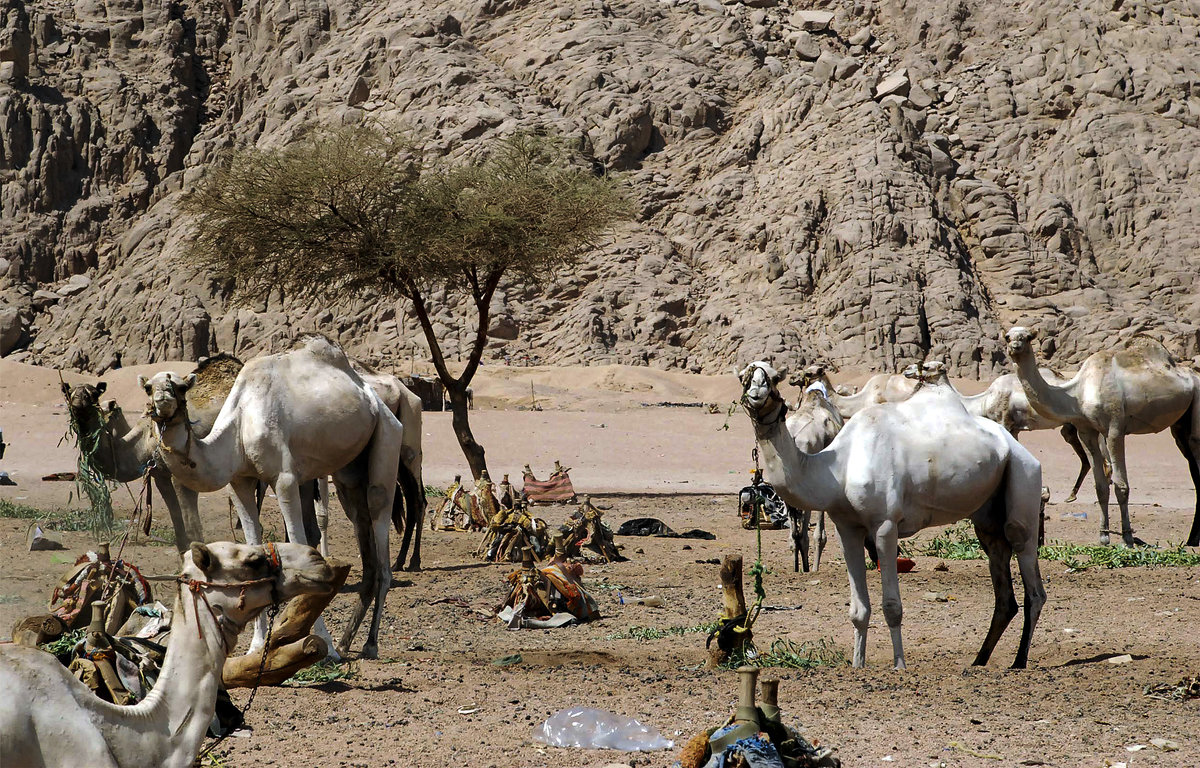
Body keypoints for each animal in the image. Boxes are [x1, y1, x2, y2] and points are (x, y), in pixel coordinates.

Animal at [140, 336, 403, 662]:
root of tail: (371, 393)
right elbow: (252, 542)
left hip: (388, 436)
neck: (241, 421)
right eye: (148, 388)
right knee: (360, 520)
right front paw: (255, 645)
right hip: (349, 472)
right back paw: (346, 642)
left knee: (380, 519)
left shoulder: (285, 479)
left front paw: (325, 646)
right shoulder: (239, 482)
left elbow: (301, 542)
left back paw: (369, 643)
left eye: (180, 387)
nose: (163, 401)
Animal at [734, 362, 1046, 667]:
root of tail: (1016, 446)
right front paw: (857, 665)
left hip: (1024, 476)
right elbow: (858, 610)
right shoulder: (846, 527)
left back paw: (1019, 661)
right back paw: (979, 661)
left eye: (773, 377)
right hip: (987, 514)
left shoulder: (884, 525)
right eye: (745, 375)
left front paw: (899, 666)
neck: (839, 466)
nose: (757, 392)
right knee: (1001, 579)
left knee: (1029, 570)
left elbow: (892, 606)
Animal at [1003, 326, 1200, 549]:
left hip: (1197, 400)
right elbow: (1100, 487)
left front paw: (1127, 538)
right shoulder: (1086, 431)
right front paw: (1104, 537)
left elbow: (1121, 486)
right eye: (1007, 337)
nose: (1015, 347)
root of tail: (1193, 374)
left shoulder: (1115, 429)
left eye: (1027, 337)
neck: (1077, 394)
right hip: (1180, 425)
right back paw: (1191, 539)